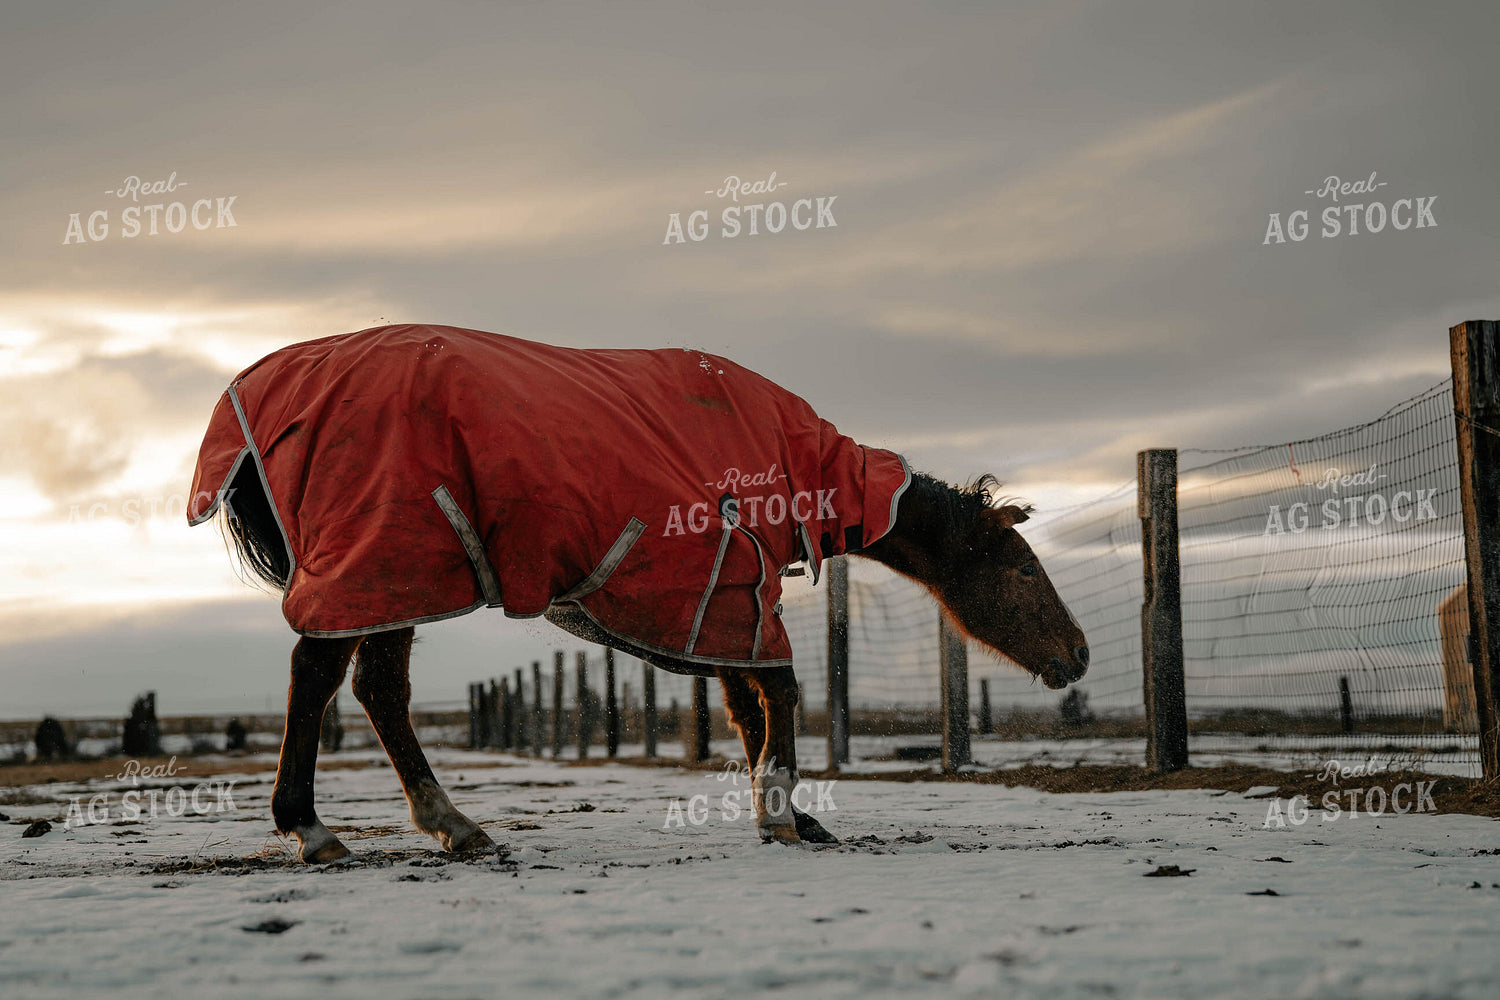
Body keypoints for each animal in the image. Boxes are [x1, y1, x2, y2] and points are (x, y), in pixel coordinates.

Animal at [187, 324, 1088, 861]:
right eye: (1022, 569)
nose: (1077, 655)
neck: (792, 458)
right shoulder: (732, 585)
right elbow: (782, 691)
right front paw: (781, 810)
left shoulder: (720, 602)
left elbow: (748, 706)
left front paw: (790, 812)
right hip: (382, 565)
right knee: (324, 676)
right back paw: (316, 828)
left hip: (405, 578)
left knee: (374, 688)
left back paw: (449, 826)